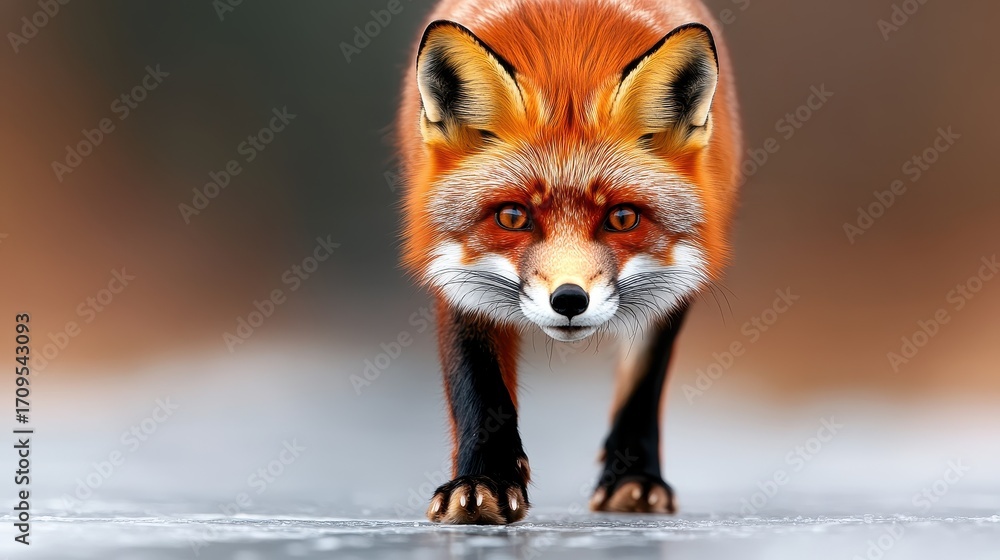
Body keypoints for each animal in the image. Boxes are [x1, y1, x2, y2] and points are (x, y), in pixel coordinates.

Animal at [397, 0, 742, 524]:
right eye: (512, 216)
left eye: (622, 218)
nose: (569, 300)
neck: (568, 57)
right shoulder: (453, 263)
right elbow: (478, 386)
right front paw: (483, 481)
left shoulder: (679, 270)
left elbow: (641, 385)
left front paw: (634, 478)